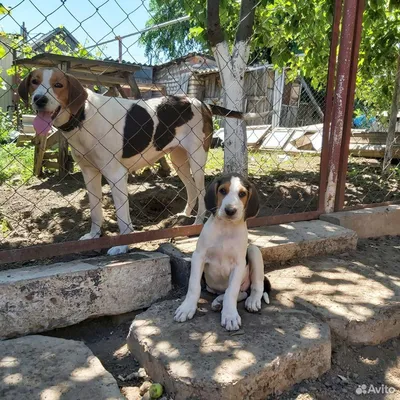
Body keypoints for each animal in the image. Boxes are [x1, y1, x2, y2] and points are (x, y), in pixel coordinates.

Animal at [18, 69, 260, 255]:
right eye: (34, 81)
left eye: (58, 85)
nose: (39, 99)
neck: (83, 115)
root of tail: (201, 102)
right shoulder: (89, 173)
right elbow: (95, 211)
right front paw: (94, 236)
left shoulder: (116, 175)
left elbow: (122, 218)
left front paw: (122, 247)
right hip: (178, 160)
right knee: (191, 188)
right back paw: (184, 215)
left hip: (197, 158)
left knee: (200, 191)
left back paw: (197, 223)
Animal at [173, 173, 270, 332]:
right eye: (223, 191)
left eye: (242, 194)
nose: (230, 210)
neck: (226, 228)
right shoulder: (198, 256)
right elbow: (194, 286)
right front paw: (187, 308)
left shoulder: (238, 264)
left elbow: (232, 291)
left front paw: (230, 315)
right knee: (238, 293)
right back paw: (218, 301)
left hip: (254, 251)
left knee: (254, 286)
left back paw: (252, 301)